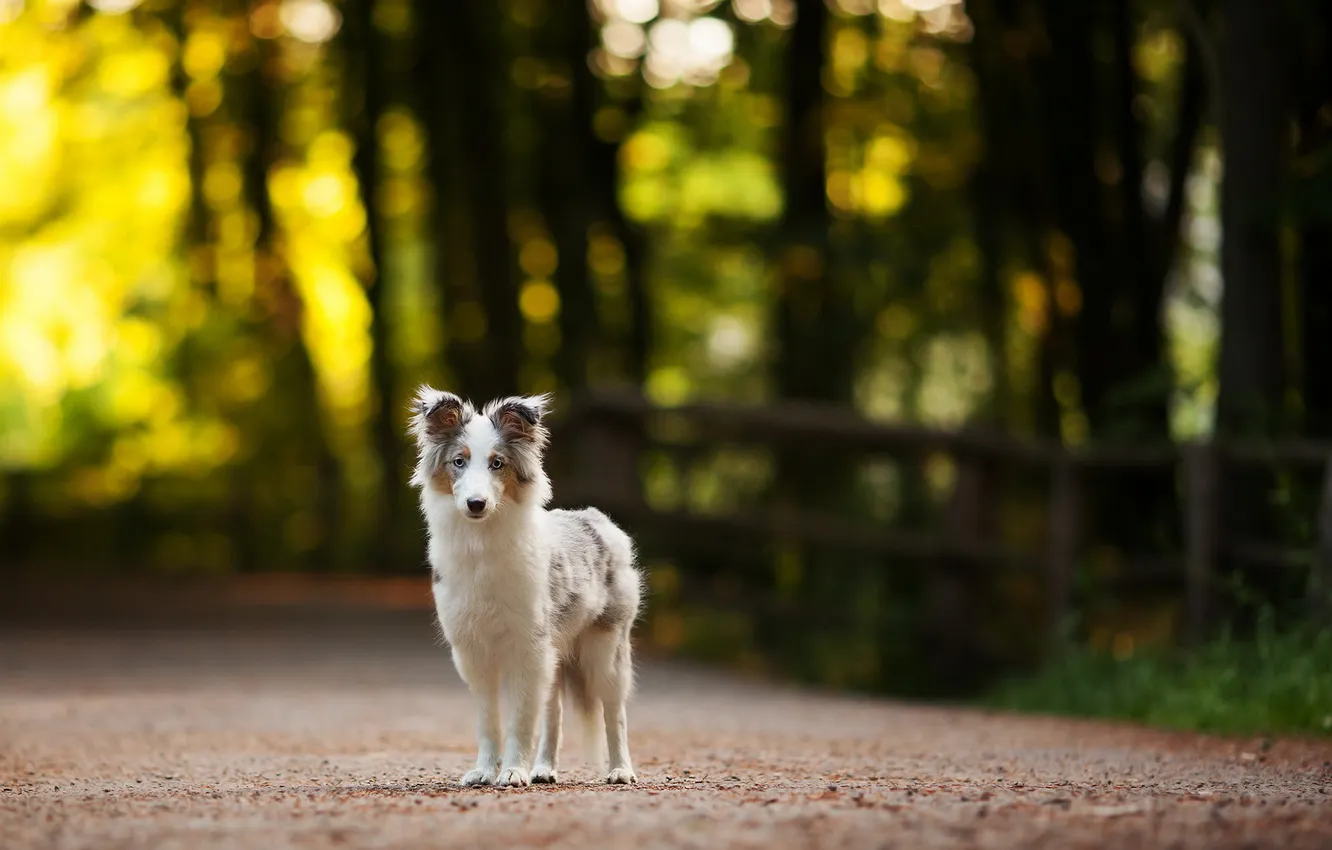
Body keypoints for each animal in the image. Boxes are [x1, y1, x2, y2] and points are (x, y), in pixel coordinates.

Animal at [407, 389, 642, 788]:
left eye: (497, 463)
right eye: (458, 461)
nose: (476, 504)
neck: (482, 546)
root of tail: (597, 518)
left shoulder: (527, 649)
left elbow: (520, 720)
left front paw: (514, 772)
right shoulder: (474, 653)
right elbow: (489, 721)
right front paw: (486, 771)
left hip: (605, 651)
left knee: (615, 713)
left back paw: (620, 770)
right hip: (556, 653)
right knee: (554, 712)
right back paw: (544, 769)